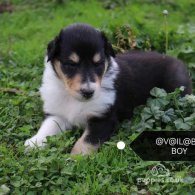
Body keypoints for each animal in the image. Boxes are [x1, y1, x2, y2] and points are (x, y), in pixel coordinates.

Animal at [24, 23, 190, 154]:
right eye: (71, 64)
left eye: (98, 63)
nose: (88, 92)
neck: (73, 98)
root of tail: (177, 60)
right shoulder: (57, 113)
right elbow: (47, 127)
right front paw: (33, 143)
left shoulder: (104, 118)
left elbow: (85, 142)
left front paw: (73, 160)